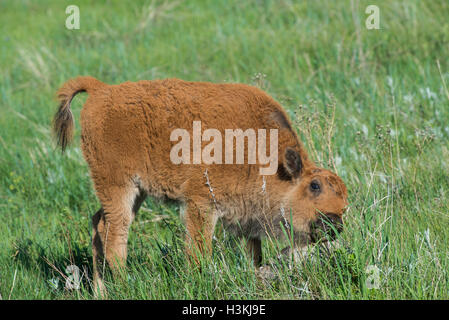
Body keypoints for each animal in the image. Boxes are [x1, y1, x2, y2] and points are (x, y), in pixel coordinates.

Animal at [51, 77, 346, 292]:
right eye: (314, 186)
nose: (335, 224)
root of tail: (102, 90)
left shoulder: (247, 218)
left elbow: (254, 254)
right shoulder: (201, 205)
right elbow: (199, 251)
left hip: (135, 192)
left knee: (99, 224)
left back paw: (101, 291)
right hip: (118, 186)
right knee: (114, 235)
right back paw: (124, 285)